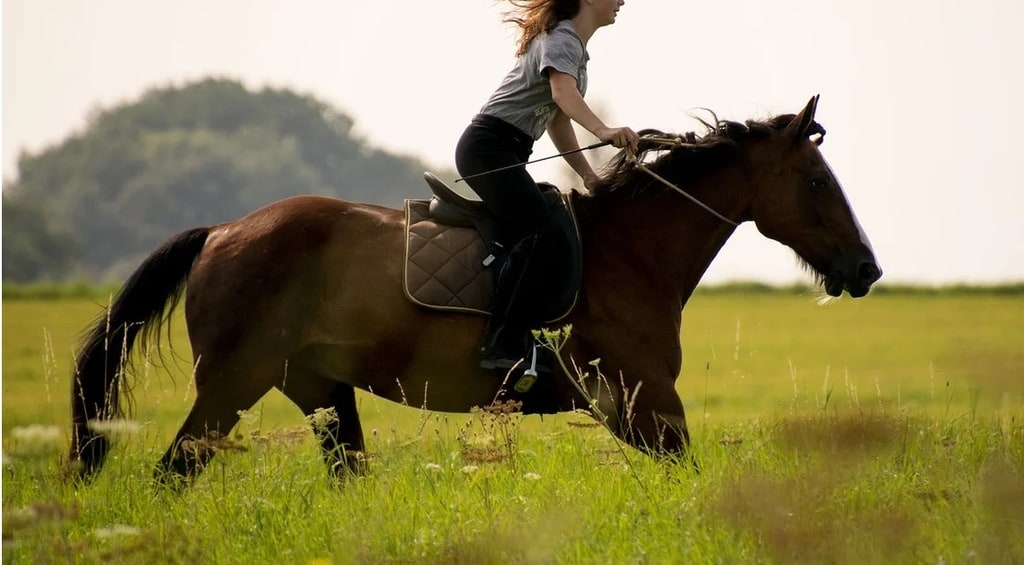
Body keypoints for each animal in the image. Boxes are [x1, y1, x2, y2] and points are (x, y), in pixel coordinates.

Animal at [67, 96, 881, 485]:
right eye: (816, 182)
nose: (866, 268)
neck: (630, 249)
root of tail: (223, 231)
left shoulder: (642, 406)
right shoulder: (644, 400)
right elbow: (689, 476)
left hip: (320, 389)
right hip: (233, 383)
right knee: (172, 473)